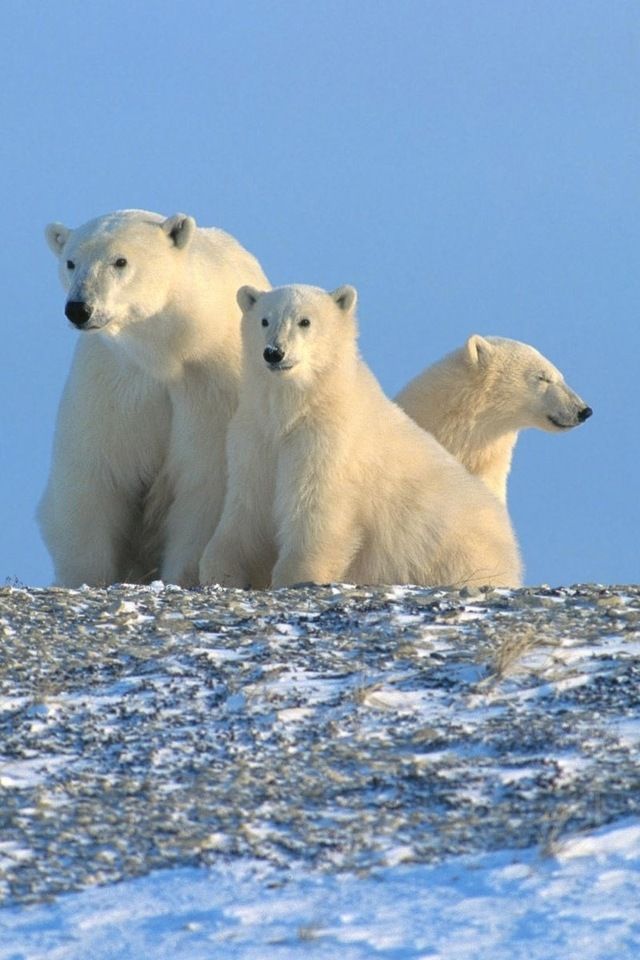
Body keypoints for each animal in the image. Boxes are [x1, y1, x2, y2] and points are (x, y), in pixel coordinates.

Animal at [40, 209, 270, 587]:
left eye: (120, 261)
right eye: (71, 262)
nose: (79, 308)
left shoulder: (210, 388)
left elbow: (203, 483)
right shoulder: (114, 383)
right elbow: (95, 477)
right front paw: (85, 577)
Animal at [199, 285, 522, 590]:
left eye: (305, 321)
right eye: (264, 320)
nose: (274, 352)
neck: (297, 409)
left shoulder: (327, 443)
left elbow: (316, 511)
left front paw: (296, 575)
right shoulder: (255, 438)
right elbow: (247, 509)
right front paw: (221, 570)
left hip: (455, 551)